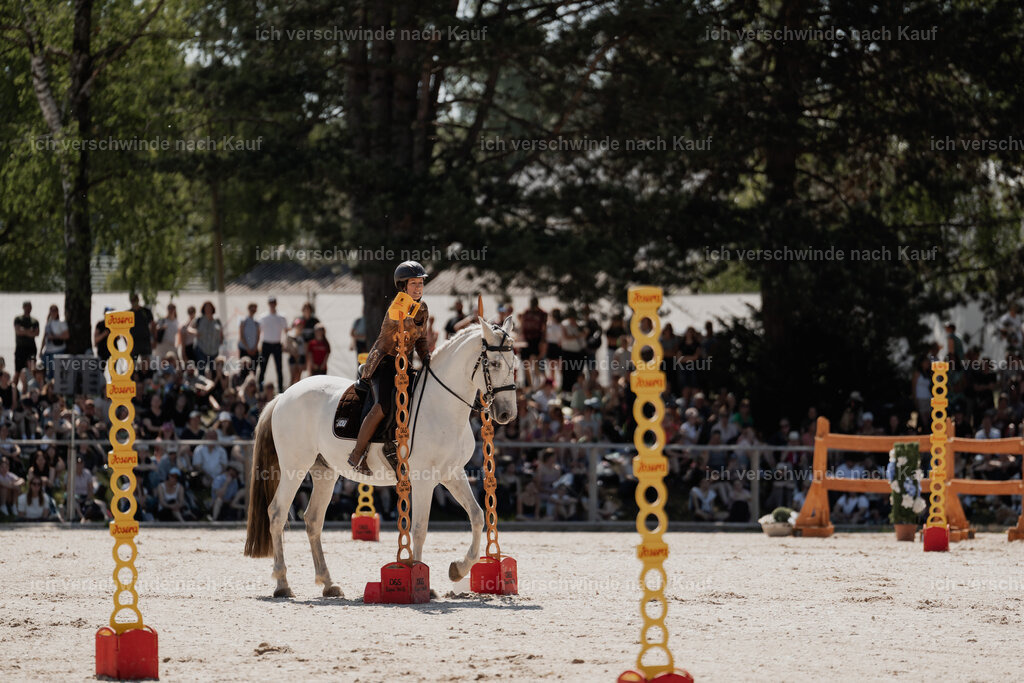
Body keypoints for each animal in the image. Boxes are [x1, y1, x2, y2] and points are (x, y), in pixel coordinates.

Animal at [244, 316, 518, 598]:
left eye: (514, 364)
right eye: (494, 364)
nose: (507, 413)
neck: (440, 405)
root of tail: (283, 395)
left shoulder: (452, 474)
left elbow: (477, 515)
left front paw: (459, 569)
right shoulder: (423, 480)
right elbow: (419, 529)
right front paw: (422, 580)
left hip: (324, 472)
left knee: (312, 520)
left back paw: (328, 583)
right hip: (294, 467)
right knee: (277, 513)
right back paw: (282, 583)